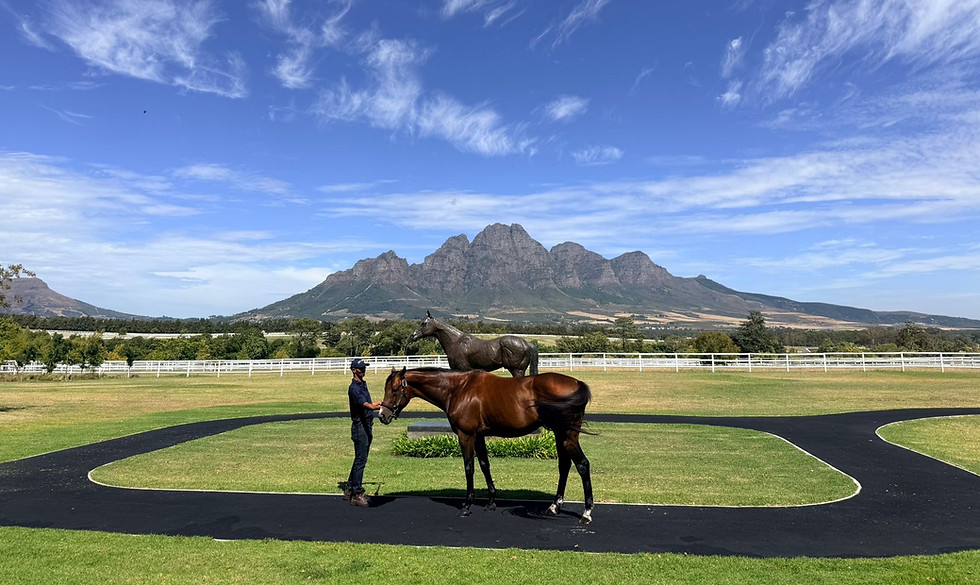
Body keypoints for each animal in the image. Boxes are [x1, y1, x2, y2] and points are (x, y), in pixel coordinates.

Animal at [379, 367, 595, 524]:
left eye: (395, 390)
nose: (382, 415)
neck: (458, 388)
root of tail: (577, 383)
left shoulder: (466, 435)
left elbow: (469, 467)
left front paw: (467, 506)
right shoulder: (479, 436)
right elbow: (484, 465)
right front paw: (491, 502)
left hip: (567, 435)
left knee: (582, 464)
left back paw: (586, 512)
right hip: (560, 434)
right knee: (565, 465)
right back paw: (554, 506)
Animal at [408, 311, 539, 377]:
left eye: (424, 323)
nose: (413, 335)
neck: (456, 342)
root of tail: (527, 344)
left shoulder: (463, 369)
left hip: (517, 370)